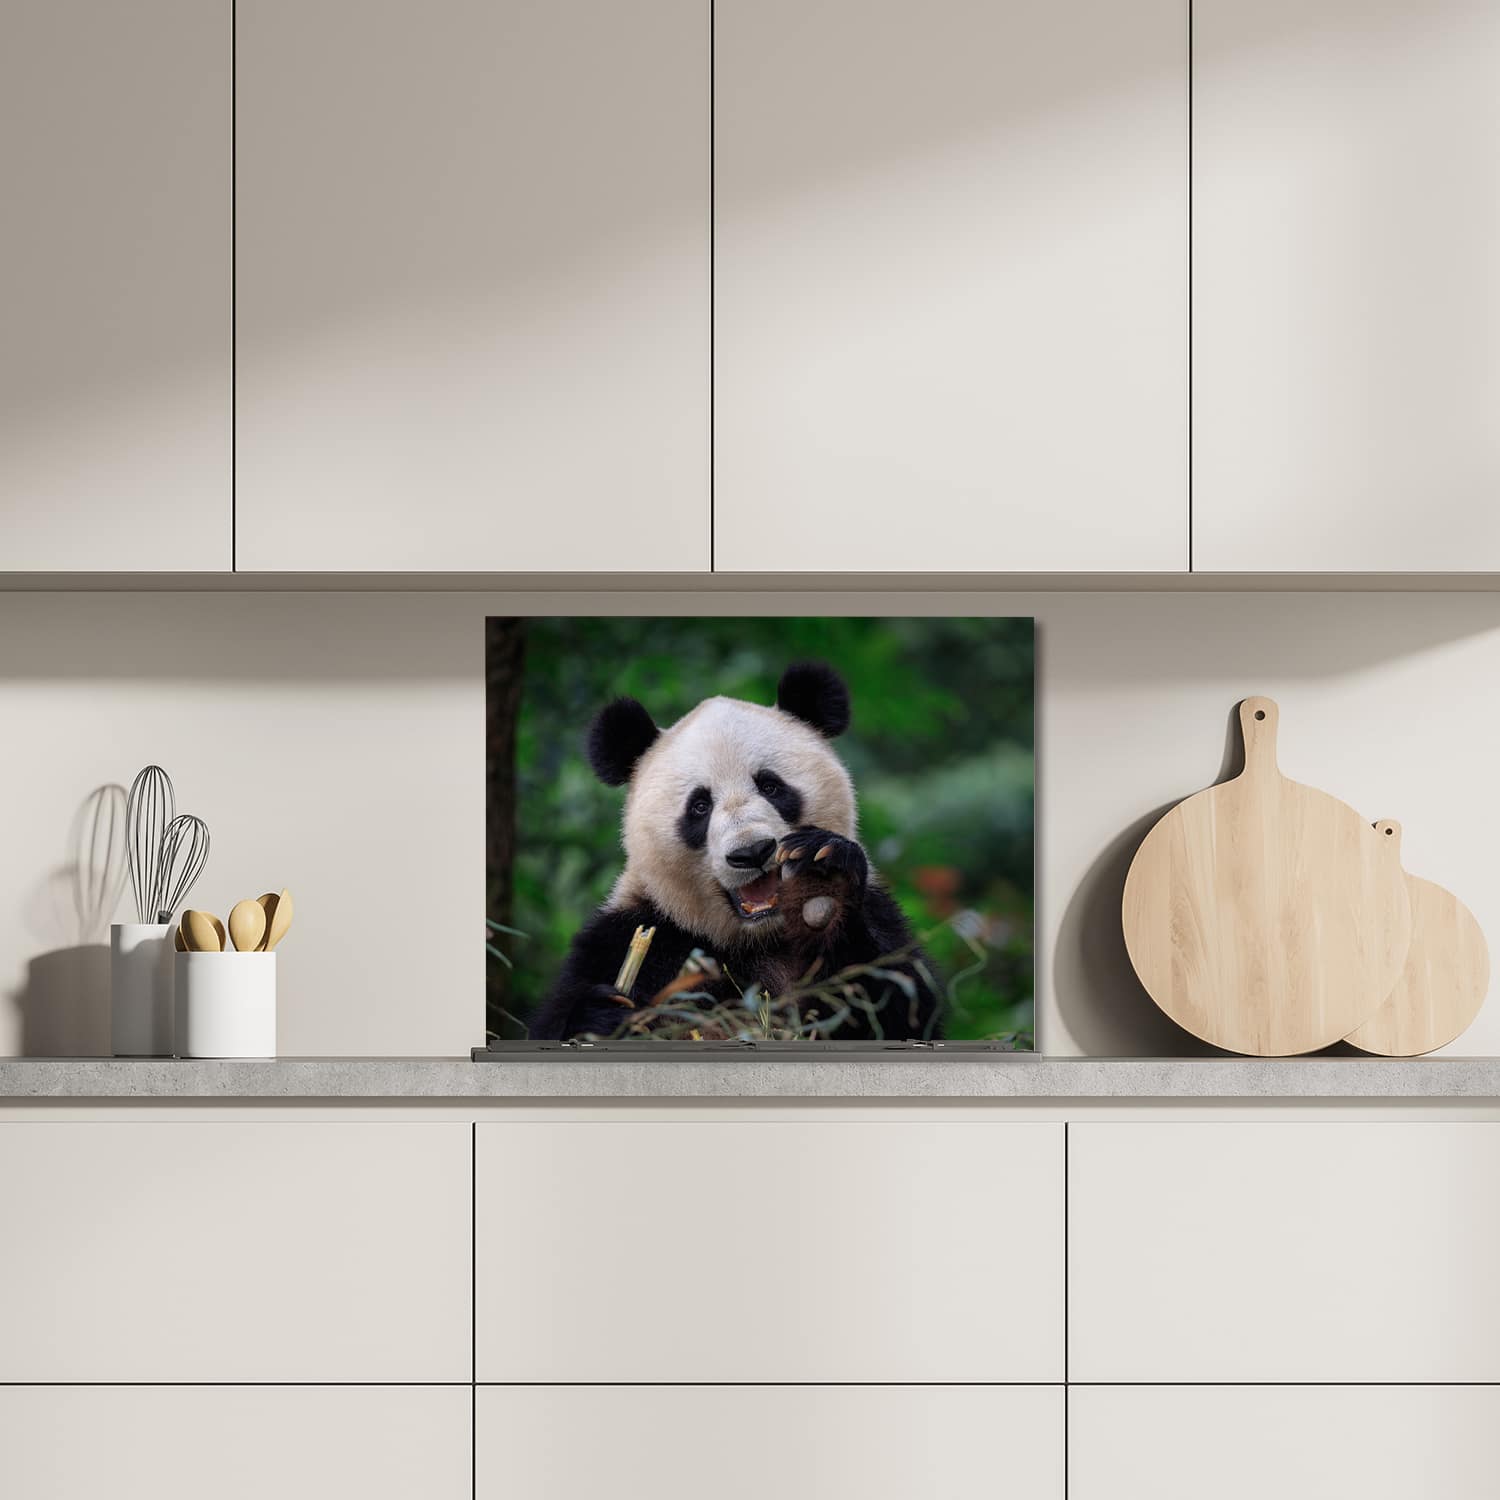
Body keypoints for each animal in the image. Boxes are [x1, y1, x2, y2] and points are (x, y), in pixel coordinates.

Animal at [529, 661, 941, 1042]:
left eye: (771, 786)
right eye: (699, 806)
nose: (752, 852)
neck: (756, 940)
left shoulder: (878, 913)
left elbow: (898, 1006)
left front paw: (825, 884)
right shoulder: (636, 935)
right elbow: (559, 1020)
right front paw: (602, 1018)